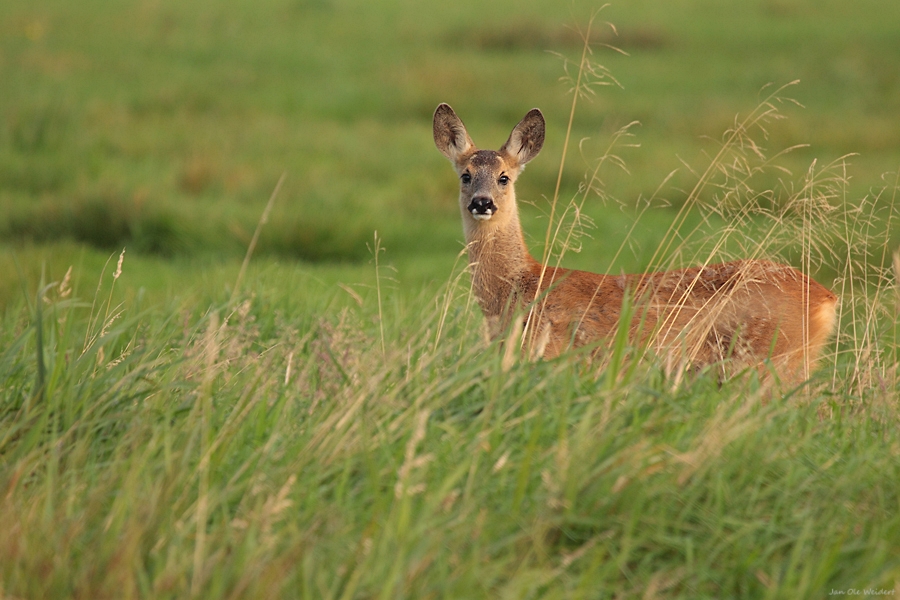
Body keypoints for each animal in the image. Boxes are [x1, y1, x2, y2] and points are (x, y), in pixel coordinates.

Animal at [432, 104, 840, 380]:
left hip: (770, 359)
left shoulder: (547, 352)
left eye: (504, 177)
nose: (481, 203)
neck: (518, 287)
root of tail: (826, 297)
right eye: (466, 175)